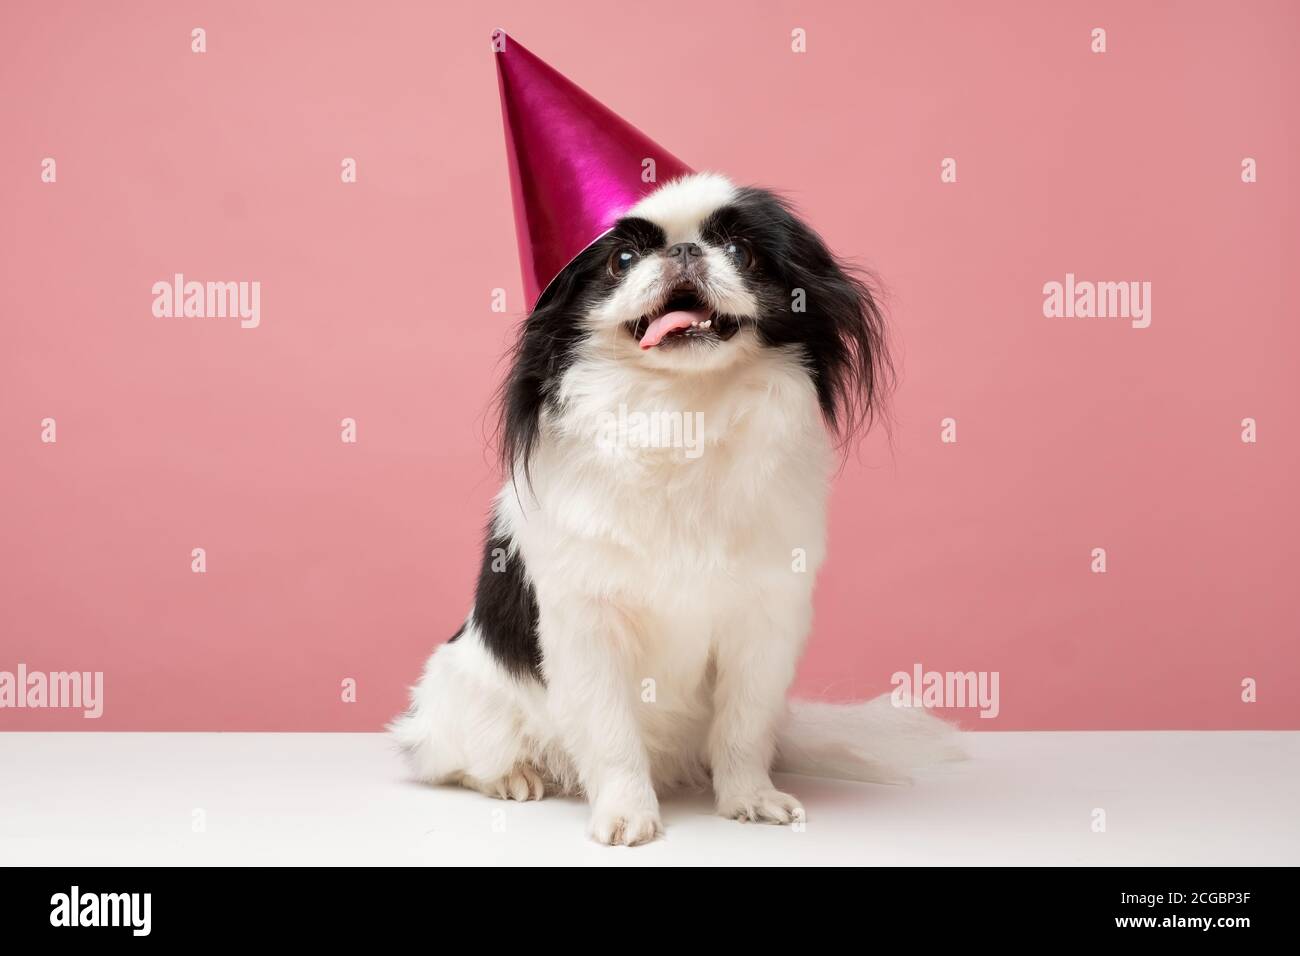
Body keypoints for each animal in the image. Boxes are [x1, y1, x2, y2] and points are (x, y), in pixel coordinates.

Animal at [384, 171, 956, 842]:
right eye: (622, 260)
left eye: (742, 252)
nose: (684, 250)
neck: (683, 409)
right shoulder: (590, 624)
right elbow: (611, 734)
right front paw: (627, 814)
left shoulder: (764, 621)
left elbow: (744, 726)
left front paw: (749, 798)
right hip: (462, 695)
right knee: (456, 758)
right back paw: (514, 777)